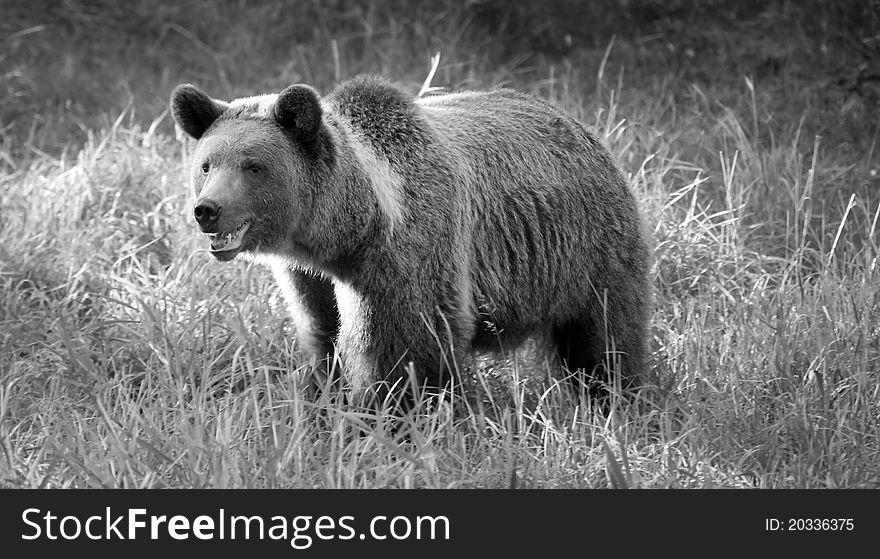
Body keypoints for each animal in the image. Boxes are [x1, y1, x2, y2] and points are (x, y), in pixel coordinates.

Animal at [172, 75, 648, 402]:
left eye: (253, 166)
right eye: (207, 164)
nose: (207, 210)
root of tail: (580, 125)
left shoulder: (405, 253)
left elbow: (403, 344)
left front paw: (394, 411)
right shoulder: (307, 276)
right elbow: (323, 332)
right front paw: (325, 395)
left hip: (586, 248)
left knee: (603, 332)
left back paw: (612, 394)